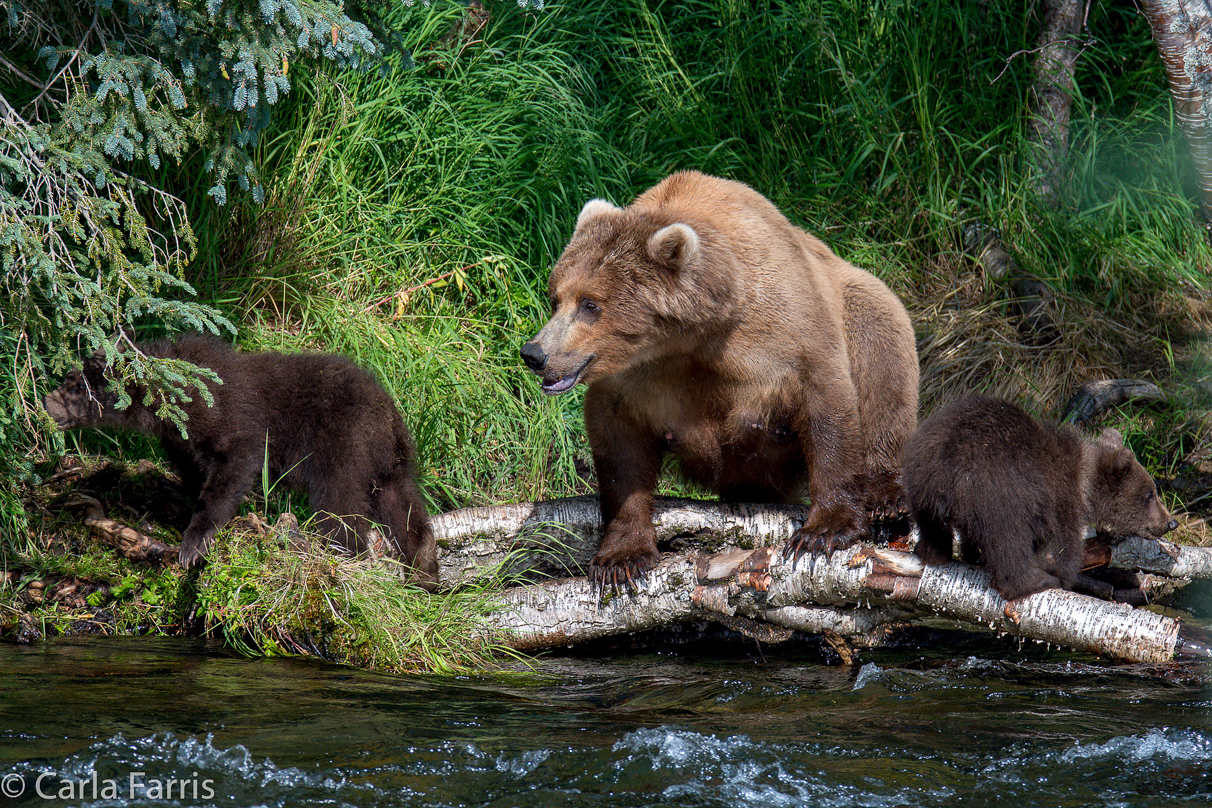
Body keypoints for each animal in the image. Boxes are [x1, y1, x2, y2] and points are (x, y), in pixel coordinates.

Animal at [44, 334, 438, 588]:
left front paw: (194, 543)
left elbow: (234, 465)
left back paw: (339, 552)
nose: (48, 403)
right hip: (388, 460)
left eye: (78, 385)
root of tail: (388, 412)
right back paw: (424, 570)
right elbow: (193, 471)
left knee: (340, 503)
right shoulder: (181, 440)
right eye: (70, 377)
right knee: (402, 505)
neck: (172, 402)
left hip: (342, 443)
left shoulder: (229, 414)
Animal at [516, 170, 911, 588]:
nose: (535, 354)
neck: (692, 336)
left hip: (864, 302)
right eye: (555, 297)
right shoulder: (635, 379)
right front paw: (621, 558)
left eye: (590, 304)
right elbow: (620, 449)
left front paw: (823, 532)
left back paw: (887, 497)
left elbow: (825, 403)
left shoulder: (784, 332)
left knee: (883, 368)